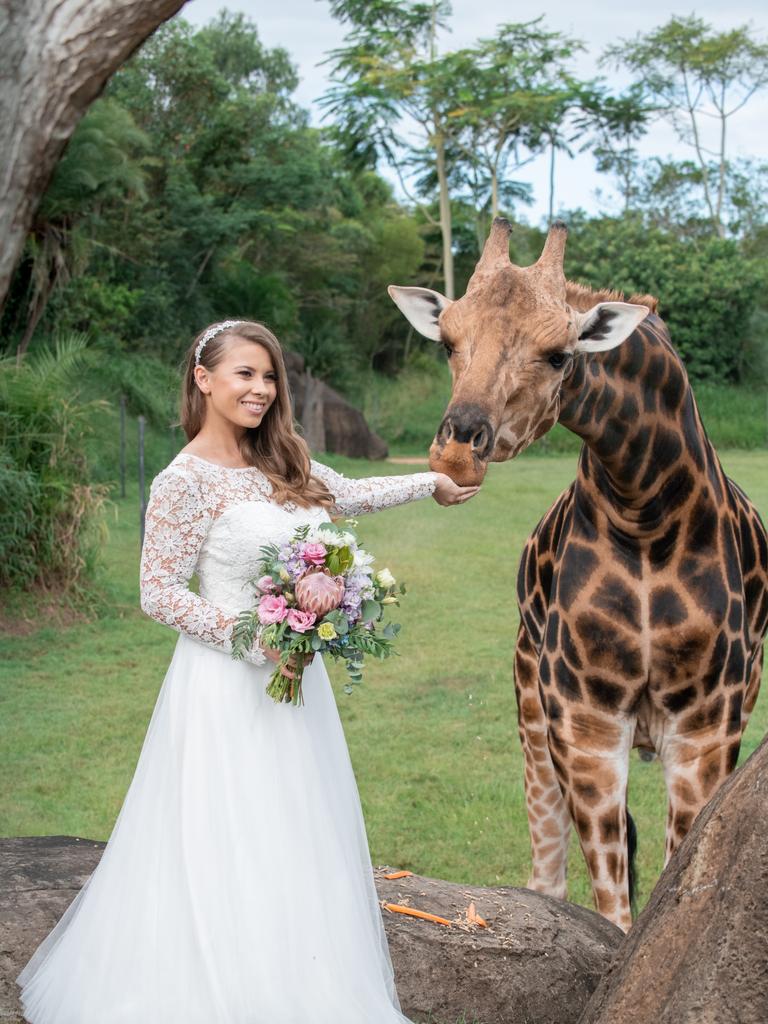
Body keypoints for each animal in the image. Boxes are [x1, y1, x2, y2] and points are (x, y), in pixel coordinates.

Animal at [391, 220, 768, 933]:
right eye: (448, 343)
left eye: (559, 356)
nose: (455, 453)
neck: (644, 512)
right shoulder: (584, 720)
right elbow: (613, 911)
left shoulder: (707, 724)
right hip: (530, 710)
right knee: (547, 870)